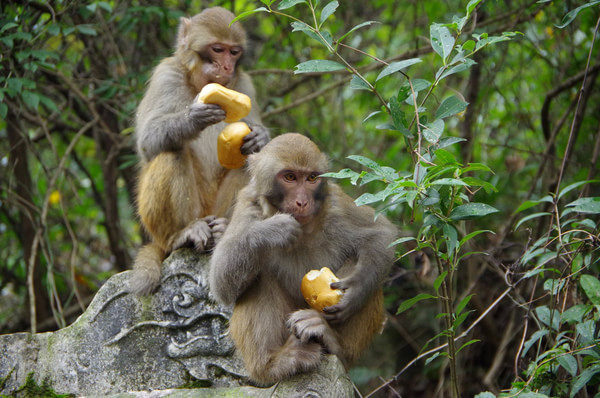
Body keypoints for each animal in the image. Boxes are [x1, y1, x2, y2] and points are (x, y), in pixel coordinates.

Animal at [132, 7, 272, 296]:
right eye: (218, 49)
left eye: (234, 52)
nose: (227, 67)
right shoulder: (166, 74)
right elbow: (149, 140)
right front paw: (193, 117)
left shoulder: (244, 84)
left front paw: (261, 137)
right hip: (165, 218)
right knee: (171, 152)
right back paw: (181, 235)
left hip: (216, 209)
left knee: (247, 160)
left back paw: (225, 231)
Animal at [209, 134, 396, 386]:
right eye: (290, 177)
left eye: (311, 178)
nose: (302, 202)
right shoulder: (248, 207)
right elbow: (221, 283)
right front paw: (271, 231)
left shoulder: (336, 205)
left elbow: (382, 234)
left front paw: (353, 292)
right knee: (258, 278)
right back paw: (274, 364)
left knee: (368, 272)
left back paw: (334, 343)